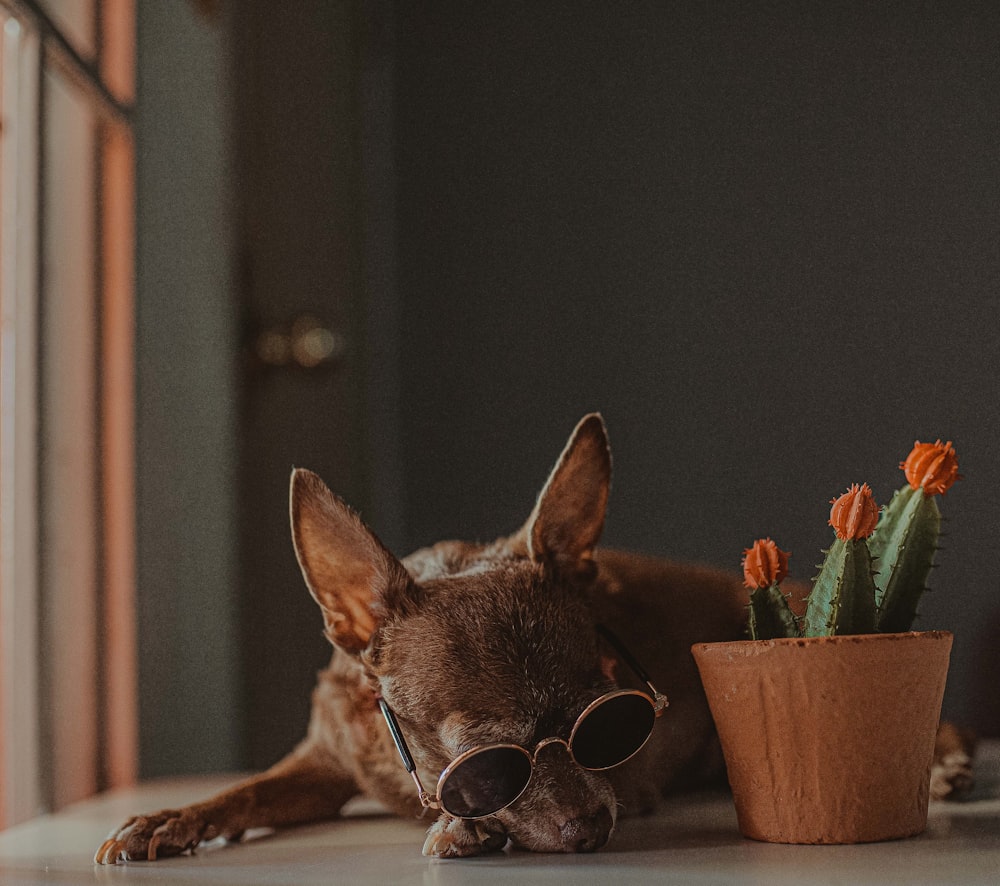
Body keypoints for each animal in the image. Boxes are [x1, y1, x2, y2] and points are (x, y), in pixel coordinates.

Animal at [95, 418, 976, 868]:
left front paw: (465, 830)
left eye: (612, 722)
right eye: (485, 758)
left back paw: (945, 762)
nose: (591, 829)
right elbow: (244, 791)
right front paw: (170, 817)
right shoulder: (318, 765)